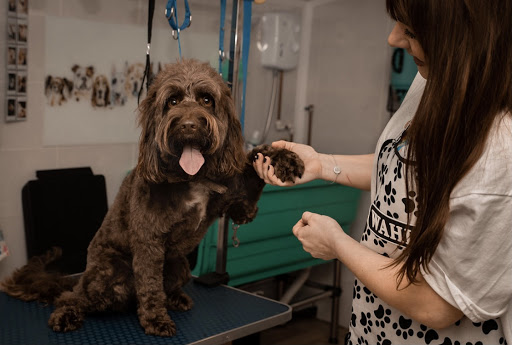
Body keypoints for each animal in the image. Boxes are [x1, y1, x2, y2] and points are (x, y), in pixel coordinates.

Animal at [1, 59, 304, 336]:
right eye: (173, 100)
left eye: (207, 99)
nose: (189, 125)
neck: (191, 176)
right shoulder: (149, 241)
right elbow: (149, 287)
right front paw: (155, 320)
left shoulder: (239, 202)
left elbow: (255, 163)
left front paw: (284, 159)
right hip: (108, 273)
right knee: (74, 296)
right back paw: (67, 313)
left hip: (179, 265)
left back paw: (176, 298)